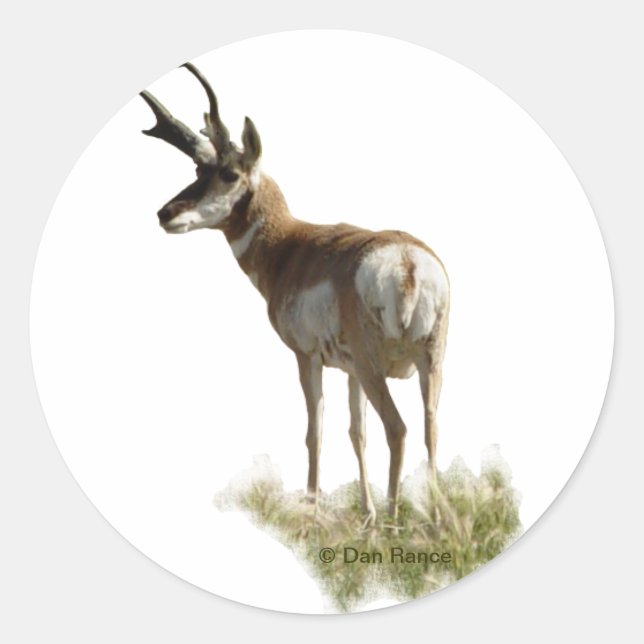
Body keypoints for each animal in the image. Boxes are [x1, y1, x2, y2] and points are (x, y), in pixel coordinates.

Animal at [139, 63, 449, 525]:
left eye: (228, 173)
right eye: (197, 172)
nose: (165, 213)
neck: (291, 245)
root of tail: (407, 261)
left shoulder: (308, 357)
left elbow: (314, 432)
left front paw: (312, 512)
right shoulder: (350, 372)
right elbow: (356, 433)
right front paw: (366, 516)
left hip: (376, 366)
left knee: (398, 428)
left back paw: (396, 521)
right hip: (428, 363)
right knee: (430, 429)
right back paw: (432, 520)